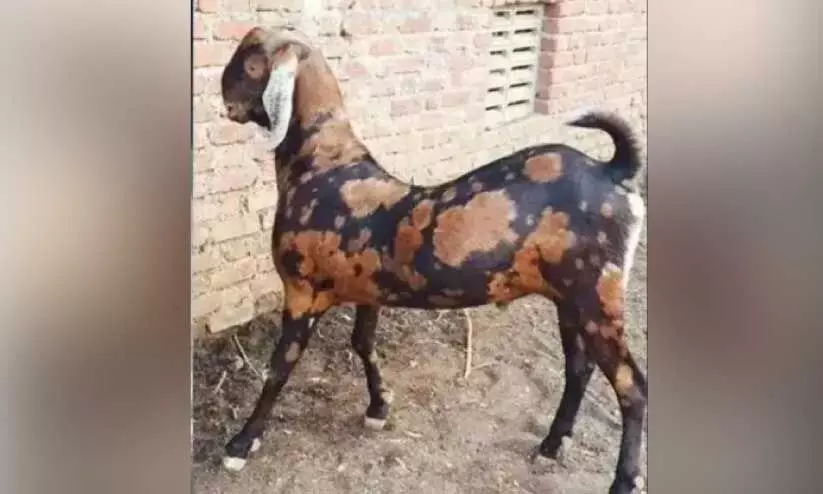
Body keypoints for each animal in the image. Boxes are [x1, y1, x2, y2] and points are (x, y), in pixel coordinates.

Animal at [218, 27, 647, 494]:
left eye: (252, 63)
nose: (223, 95)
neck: (324, 165)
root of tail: (613, 170)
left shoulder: (301, 291)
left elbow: (278, 369)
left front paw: (241, 444)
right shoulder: (368, 289)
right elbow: (362, 343)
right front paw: (378, 407)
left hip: (597, 297)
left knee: (632, 387)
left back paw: (623, 480)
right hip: (569, 299)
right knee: (579, 368)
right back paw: (552, 444)